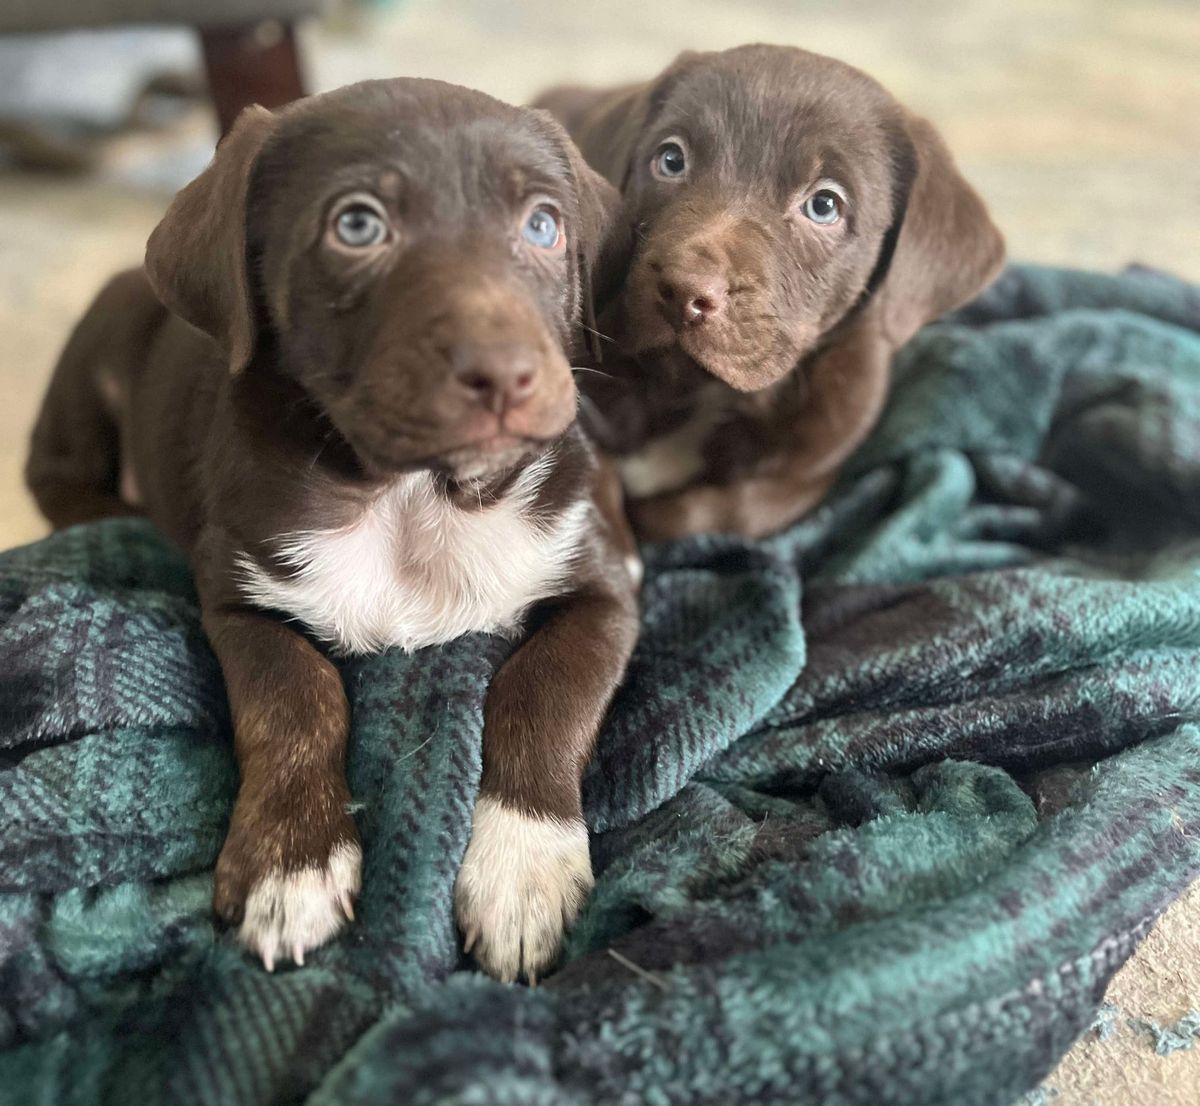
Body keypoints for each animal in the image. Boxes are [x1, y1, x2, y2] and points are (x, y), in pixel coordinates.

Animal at [28, 77, 643, 978]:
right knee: (53, 474)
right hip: (94, 351)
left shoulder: (602, 586)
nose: (509, 374)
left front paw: (522, 872)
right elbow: (293, 696)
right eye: (357, 225)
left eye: (542, 224)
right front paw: (290, 868)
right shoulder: (239, 594)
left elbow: (545, 690)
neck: (412, 499)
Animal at [535, 43, 1003, 539]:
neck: (695, 386)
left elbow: (731, 511)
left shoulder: (813, 468)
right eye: (671, 160)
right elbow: (594, 481)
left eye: (824, 205)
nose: (682, 290)